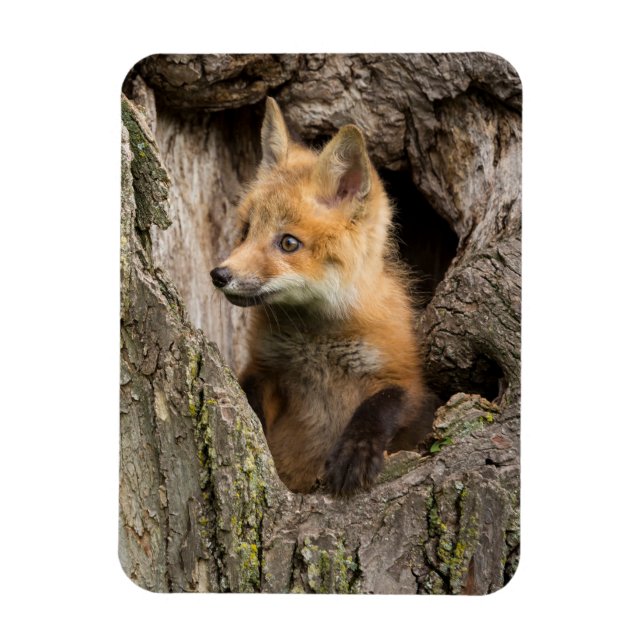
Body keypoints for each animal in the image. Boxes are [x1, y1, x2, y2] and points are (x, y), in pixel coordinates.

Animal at [210, 98, 434, 495]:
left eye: (288, 243)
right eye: (246, 230)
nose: (220, 275)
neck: (316, 343)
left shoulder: (407, 377)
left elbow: (382, 404)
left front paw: (355, 452)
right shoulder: (265, 369)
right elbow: (251, 403)